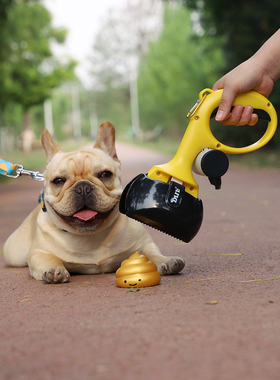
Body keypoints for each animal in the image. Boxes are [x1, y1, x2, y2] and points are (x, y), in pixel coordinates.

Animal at [3, 121, 186, 282]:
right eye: (58, 181)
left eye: (105, 174)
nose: (83, 187)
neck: (89, 235)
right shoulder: (39, 252)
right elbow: (49, 259)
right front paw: (54, 270)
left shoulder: (144, 244)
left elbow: (153, 253)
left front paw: (167, 261)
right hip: (15, 254)